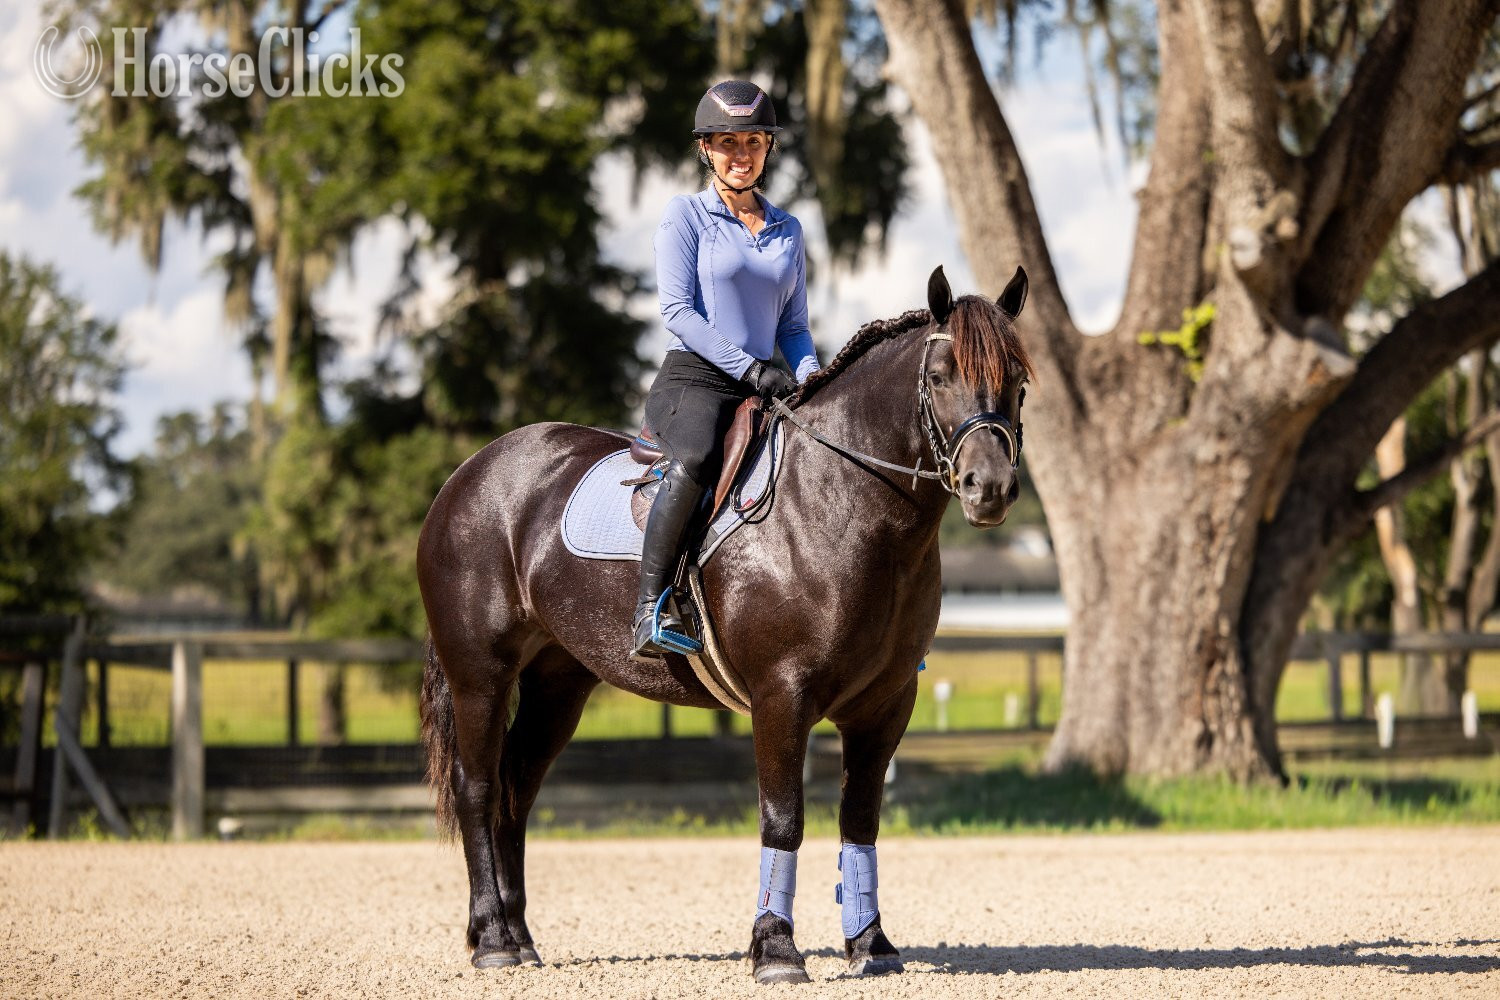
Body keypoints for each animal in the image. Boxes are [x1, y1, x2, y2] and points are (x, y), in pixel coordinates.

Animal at [417, 264, 1033, 983]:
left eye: (1018, 381)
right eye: (939, 375)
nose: (989, 488)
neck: (841, 503)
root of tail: (468, 474)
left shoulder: (885, 705)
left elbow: (860, 820)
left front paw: (871, 945)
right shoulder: (781, 696)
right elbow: (783, 819)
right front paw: (776, 949)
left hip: (558, 683)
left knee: (517, 784)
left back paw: (519, 937)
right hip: (480, 674)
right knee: (479, 787)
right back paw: (491, 937)